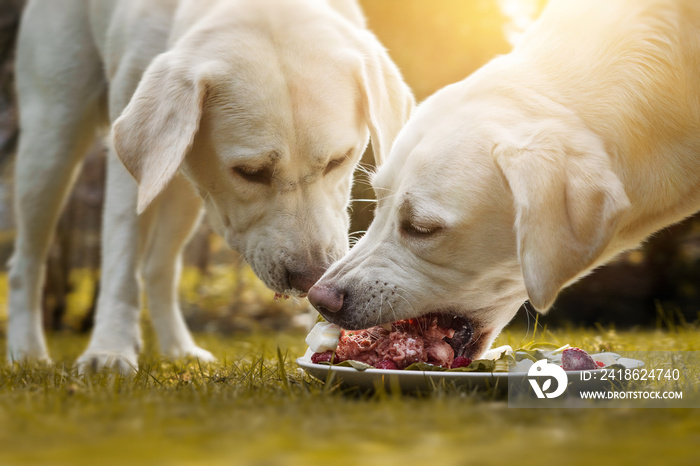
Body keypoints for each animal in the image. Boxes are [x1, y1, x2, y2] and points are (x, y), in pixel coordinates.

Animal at [8, 0, 412, 372]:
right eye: (250, 173)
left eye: (337, 160)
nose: (311, 278)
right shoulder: (132, 164)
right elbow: (121, 256)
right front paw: (109, 350)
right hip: (52, 139)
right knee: (27, 261)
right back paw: (26, 351)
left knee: (158, 267)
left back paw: (178, 349)